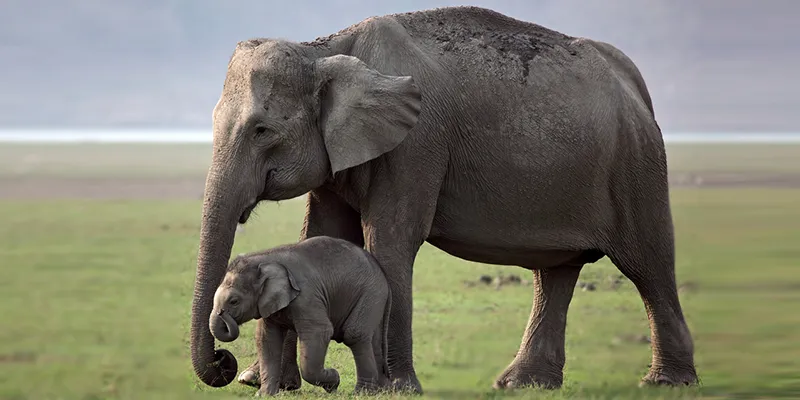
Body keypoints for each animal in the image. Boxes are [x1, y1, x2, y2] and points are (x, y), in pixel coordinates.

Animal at [209, 236, 391, 396]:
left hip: (371, 294)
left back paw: (362, 392)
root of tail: (384, 279)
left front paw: (334, 381)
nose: (221, 313)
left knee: (354, 335)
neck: (265, 258)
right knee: (371, 339)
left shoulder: (307, 296)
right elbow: (267, 338)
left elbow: (321, 331)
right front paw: (264, 395)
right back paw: (377, 391)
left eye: (234, 301)